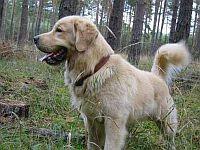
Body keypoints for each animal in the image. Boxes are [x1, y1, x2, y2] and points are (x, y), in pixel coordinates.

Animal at [33, 15, 190, 149]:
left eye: (59, 30)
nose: (35, 38)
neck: (94, 70)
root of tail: (157, 76)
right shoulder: (92, 121)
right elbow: (93, 145)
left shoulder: (114, 123)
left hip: (167, 124)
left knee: (171, 140)